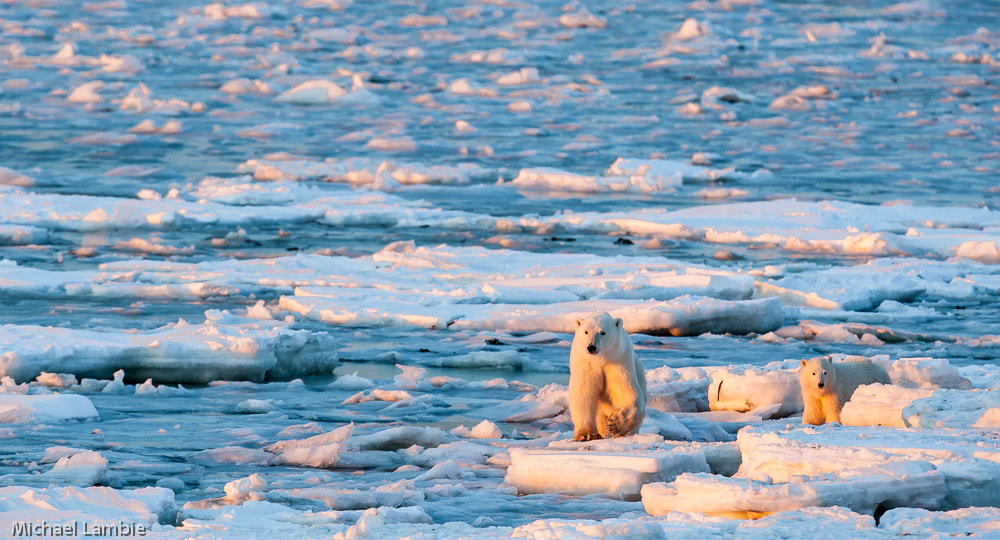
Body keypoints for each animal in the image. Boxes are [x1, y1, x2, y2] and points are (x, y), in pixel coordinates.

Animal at [572, 310, 648, 440]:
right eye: (586, 331)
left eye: (603, 332)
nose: (591, 347)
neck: (601, 359)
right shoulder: (585, 363)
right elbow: (584, 393)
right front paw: (587, 435)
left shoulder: (619, 360)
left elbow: (625, 390)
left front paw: (615, 424)